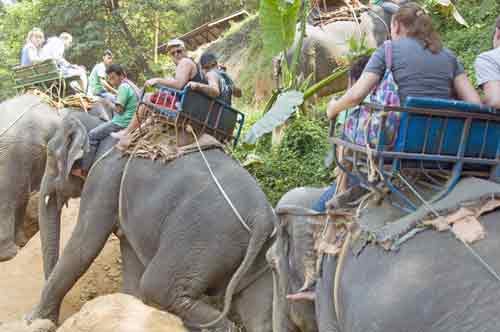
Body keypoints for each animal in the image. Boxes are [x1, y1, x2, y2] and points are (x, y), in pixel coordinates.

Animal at [27, 112, 278, 332]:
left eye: (50, 155)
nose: (54, 319)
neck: (100, 125)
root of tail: (262, 217)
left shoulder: (104, 178)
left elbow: (83, 246)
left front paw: (33, 321)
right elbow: (130, 259)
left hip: (206, 236)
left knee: (159, 285)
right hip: (258, 256)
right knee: (259, 314)